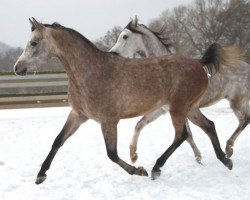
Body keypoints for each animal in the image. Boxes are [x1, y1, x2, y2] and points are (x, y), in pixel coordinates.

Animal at [110, 16, 250, 164]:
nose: (113, 53)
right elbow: (140, 124)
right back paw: (228, 150)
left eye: (125, 36)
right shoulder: (162, 110)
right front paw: (133, 155)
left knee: (244, 120)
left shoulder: (183, 110)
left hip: (237, 102)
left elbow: (186, 135)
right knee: (245, 119)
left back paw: (228, 148)